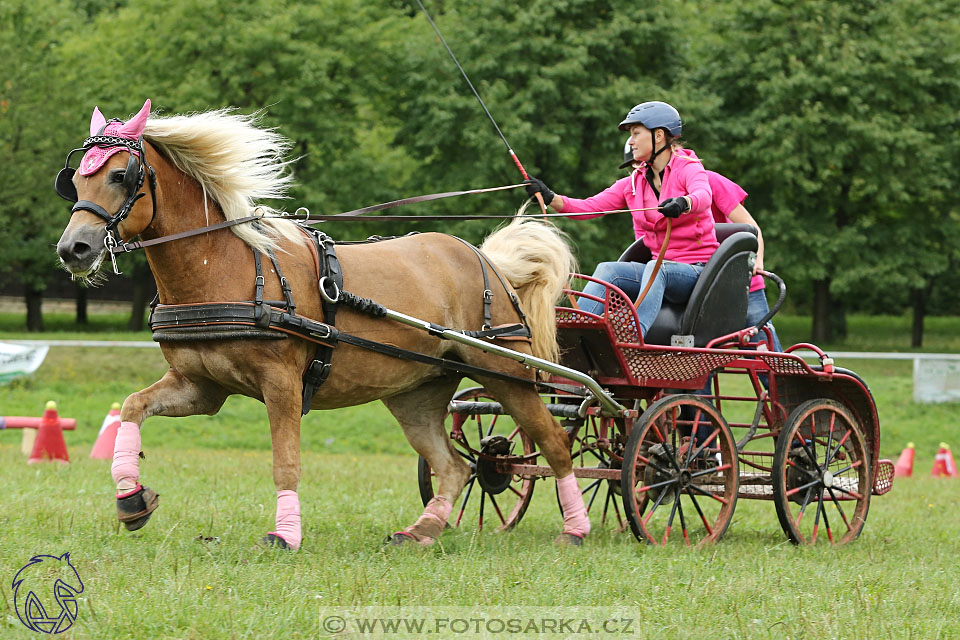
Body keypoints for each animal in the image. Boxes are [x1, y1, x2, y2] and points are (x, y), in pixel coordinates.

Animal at [54, 100, 592, 552]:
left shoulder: (282, 385)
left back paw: (576, 528)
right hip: (416, 393)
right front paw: (131, 497)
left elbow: (285, 463)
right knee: (454, 467)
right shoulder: (201, 387)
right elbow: (132, 407)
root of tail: (486, 259)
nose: (73, 249)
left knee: (555, 445)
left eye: (121, 175)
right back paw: (422, 530)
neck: (225, 267)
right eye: (74, 182)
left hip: (507, 374)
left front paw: (285, 535)